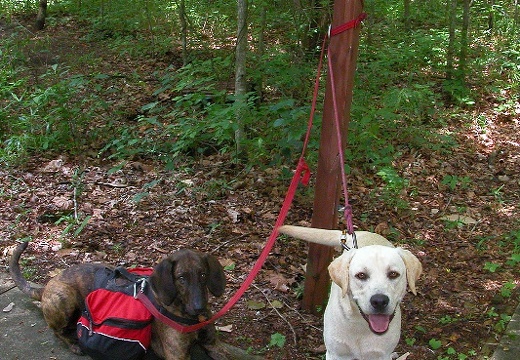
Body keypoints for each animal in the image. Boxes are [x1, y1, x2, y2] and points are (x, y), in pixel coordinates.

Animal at [9, 242, 225, 360]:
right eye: (181, 278)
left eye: (203, 275)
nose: (199, 307)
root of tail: (48, 284)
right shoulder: (177, 355)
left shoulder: (214, 345)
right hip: (64, 297)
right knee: (56, 330)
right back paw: (73, 343)